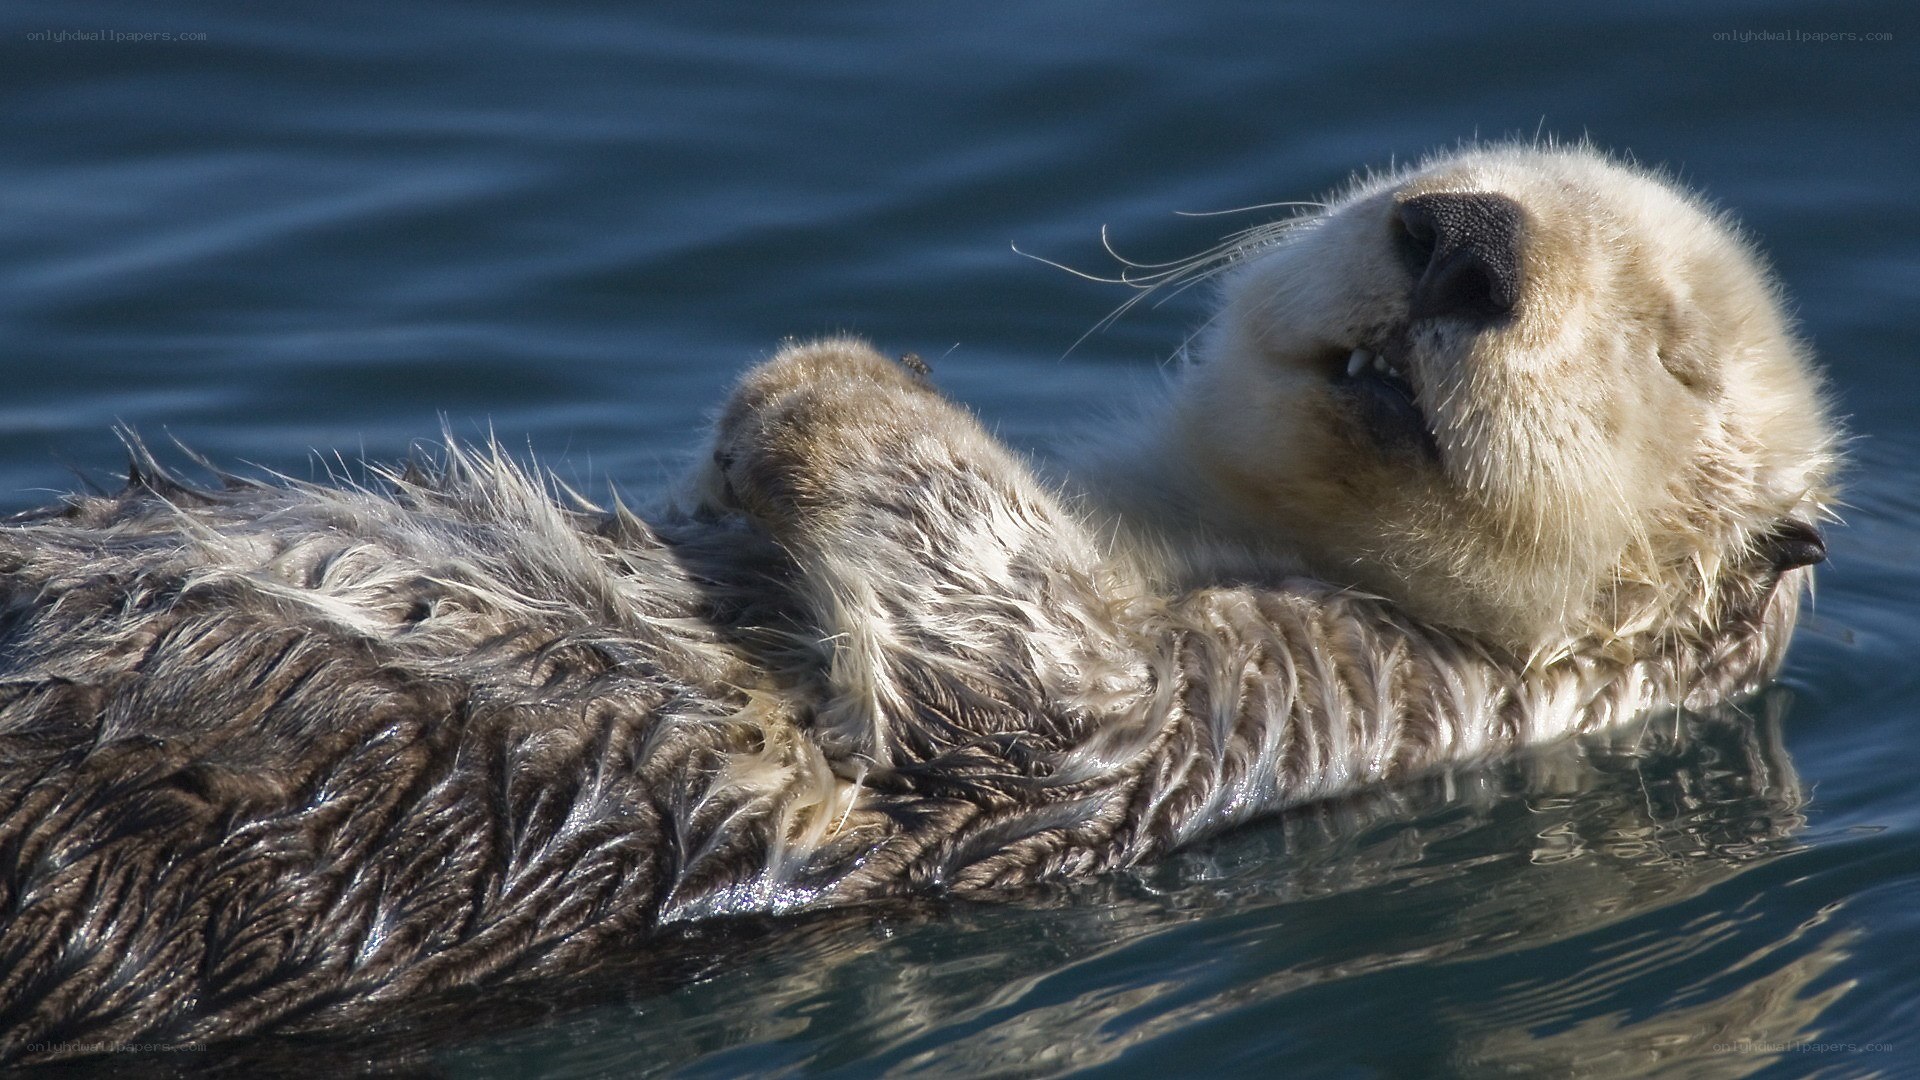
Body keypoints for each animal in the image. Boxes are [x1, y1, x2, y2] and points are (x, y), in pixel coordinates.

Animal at [0, 145, 1836, 1061]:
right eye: (1448, 175)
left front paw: (826, 379)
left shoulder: (1294, 703)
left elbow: (1024, 680)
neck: (1195, 527)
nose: (1462, 239)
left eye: (1672, 352)